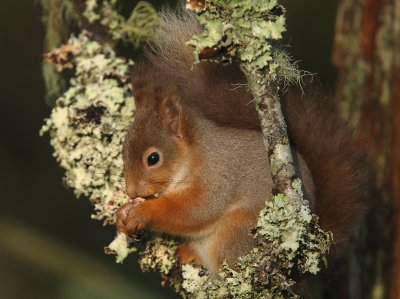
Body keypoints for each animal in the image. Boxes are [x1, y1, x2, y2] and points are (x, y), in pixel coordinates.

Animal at [115, 8, 368, 274]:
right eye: (123, 151)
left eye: (153, 158)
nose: (131, 192)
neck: (195, 155)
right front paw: (123, 213)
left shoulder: (218, 175)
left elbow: (197, 209)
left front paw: (143, 212)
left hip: (239, 233)